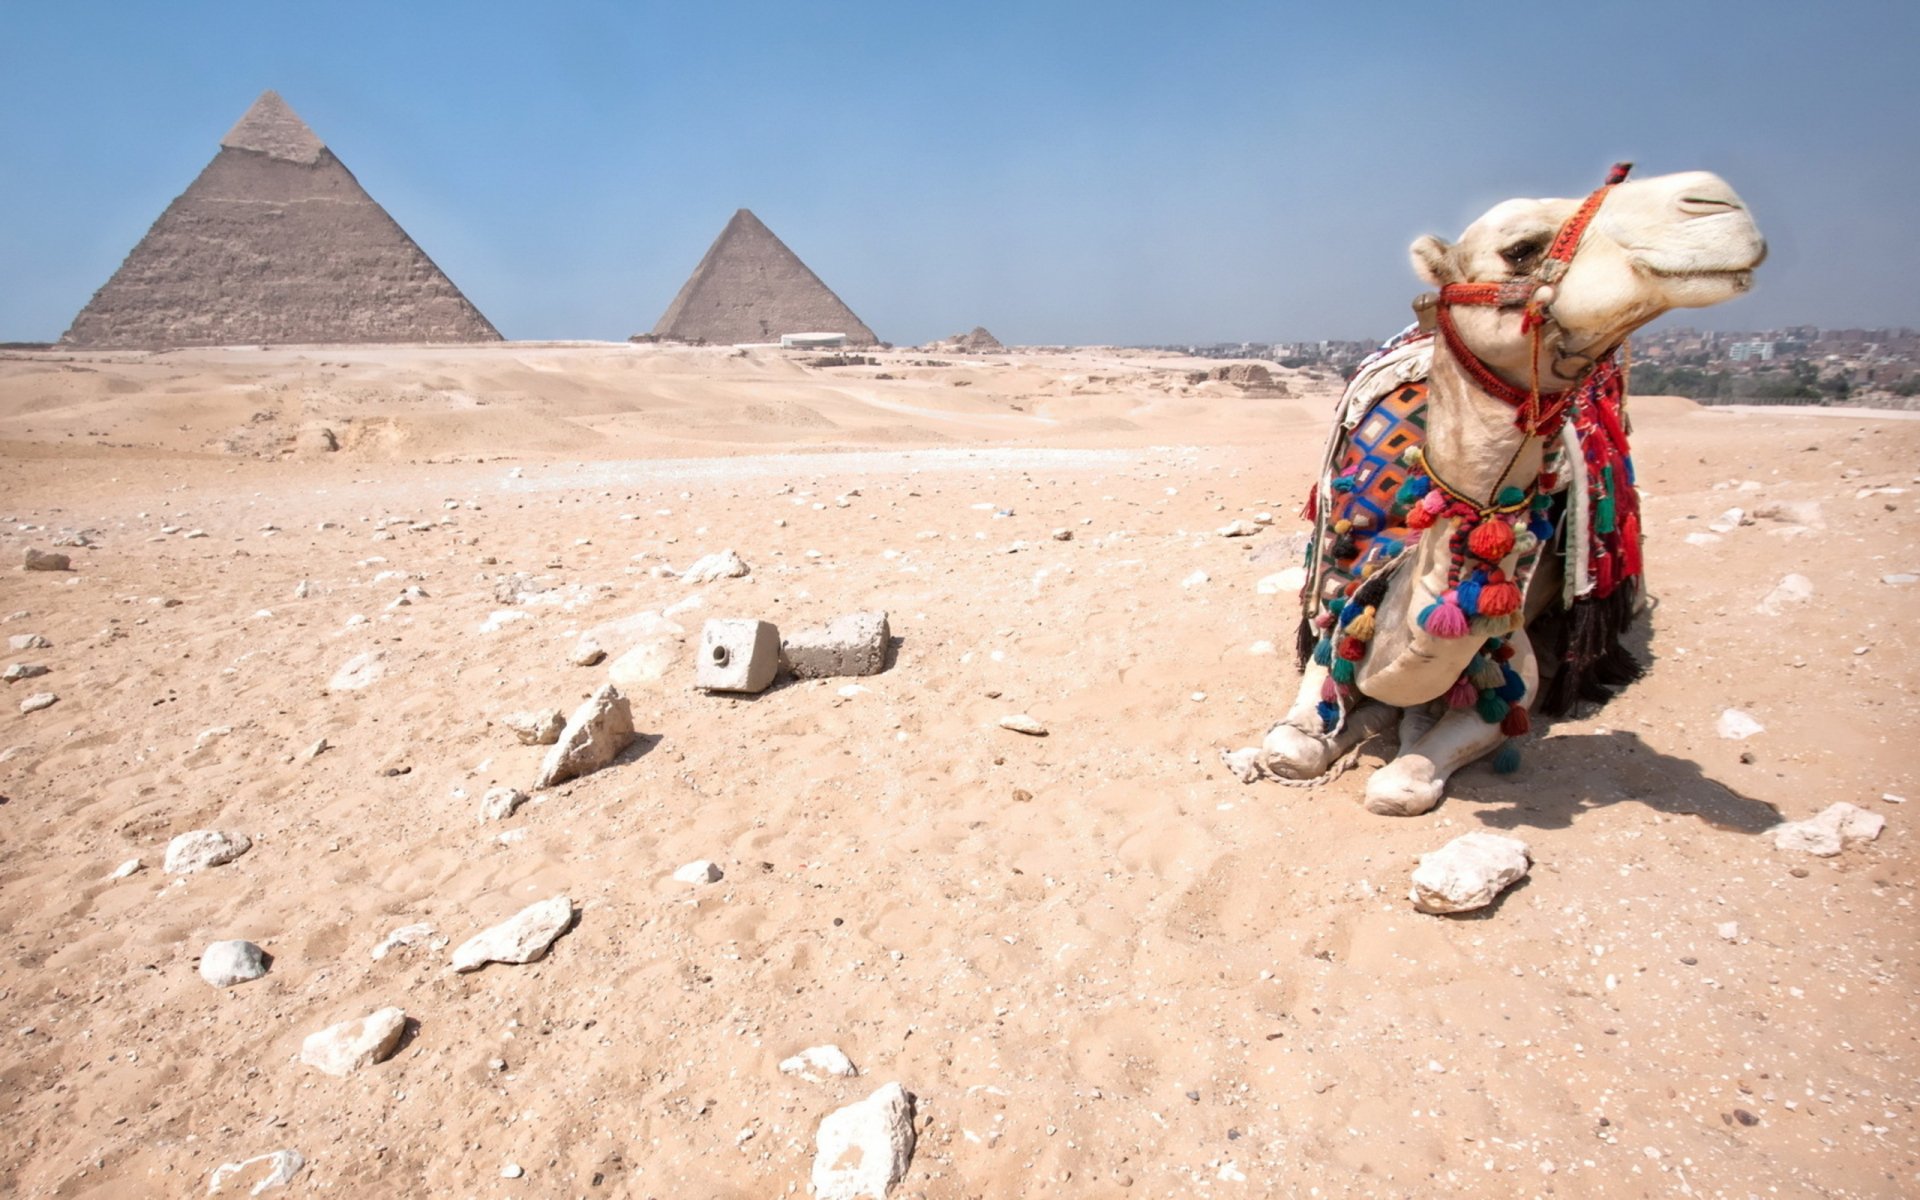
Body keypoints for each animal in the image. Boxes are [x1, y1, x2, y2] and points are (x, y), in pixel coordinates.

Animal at [1246, 165, 1766, 815]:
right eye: (1520, 249)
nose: (1713, 199)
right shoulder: (1335, 610)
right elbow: (1291, 746)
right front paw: (1358, 721)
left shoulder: (1508, 666)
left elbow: (1403, 781)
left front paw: (1406, 730)